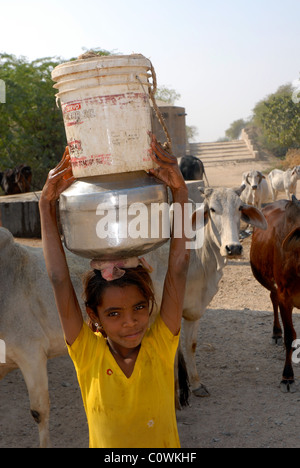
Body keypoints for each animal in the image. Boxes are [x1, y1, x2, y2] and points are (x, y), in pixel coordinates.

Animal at [145, 186, 268, 398]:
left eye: (239, 207)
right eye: (212, 209)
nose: (233, 248)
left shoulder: (195, 309)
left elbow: (190, 345)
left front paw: (195, 384)